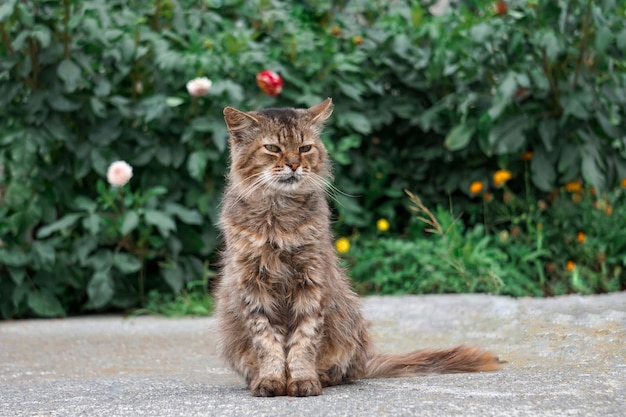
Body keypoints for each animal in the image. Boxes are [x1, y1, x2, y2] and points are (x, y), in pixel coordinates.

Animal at [214, 97, 498, 396]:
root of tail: (363, 362)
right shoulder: (253, 285)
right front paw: (270, 380)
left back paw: (321, 377)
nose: (293, 165)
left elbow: (303, 341)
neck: (278, 218)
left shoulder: (312, 280)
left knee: (341, 373)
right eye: (272, 148)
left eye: (304, 148)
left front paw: (302, 380)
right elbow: (268, 343)